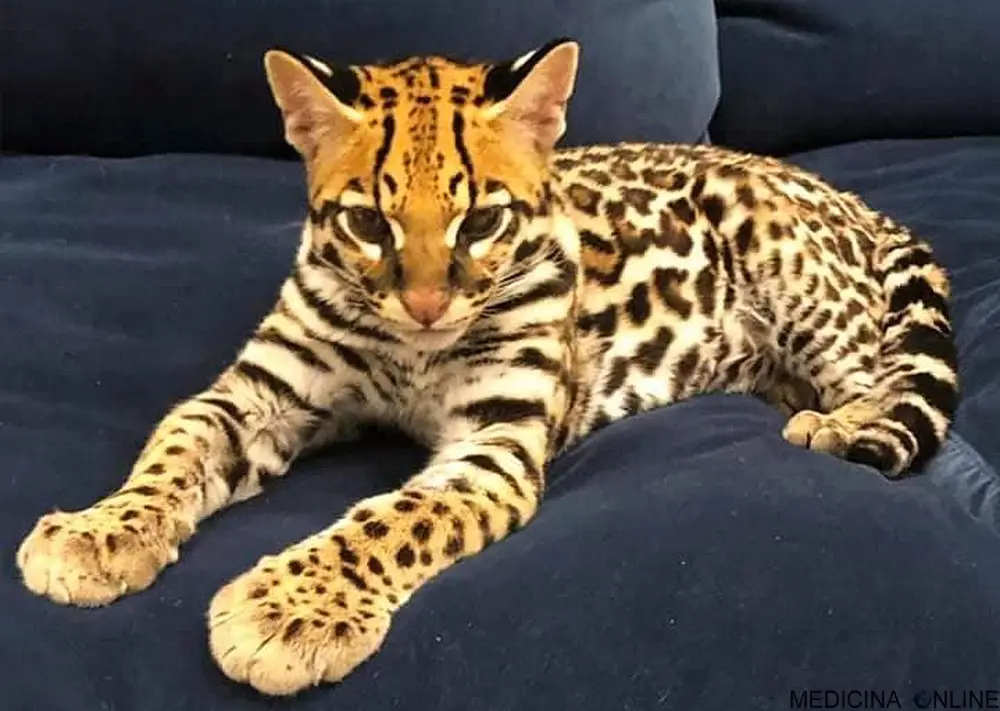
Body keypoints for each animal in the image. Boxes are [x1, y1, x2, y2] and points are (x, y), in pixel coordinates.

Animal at [15, 39, 958, 696]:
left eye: (481, 222)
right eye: (368, 222)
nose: (429, 305)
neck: (409, 351)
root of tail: (839, 192)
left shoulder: (493, 444)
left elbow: (389, 520)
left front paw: (290, 608)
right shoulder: (257, 392)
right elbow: (176, 448)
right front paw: (100, 531)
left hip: (786, 259)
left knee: (878, 373)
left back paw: (839, 421)